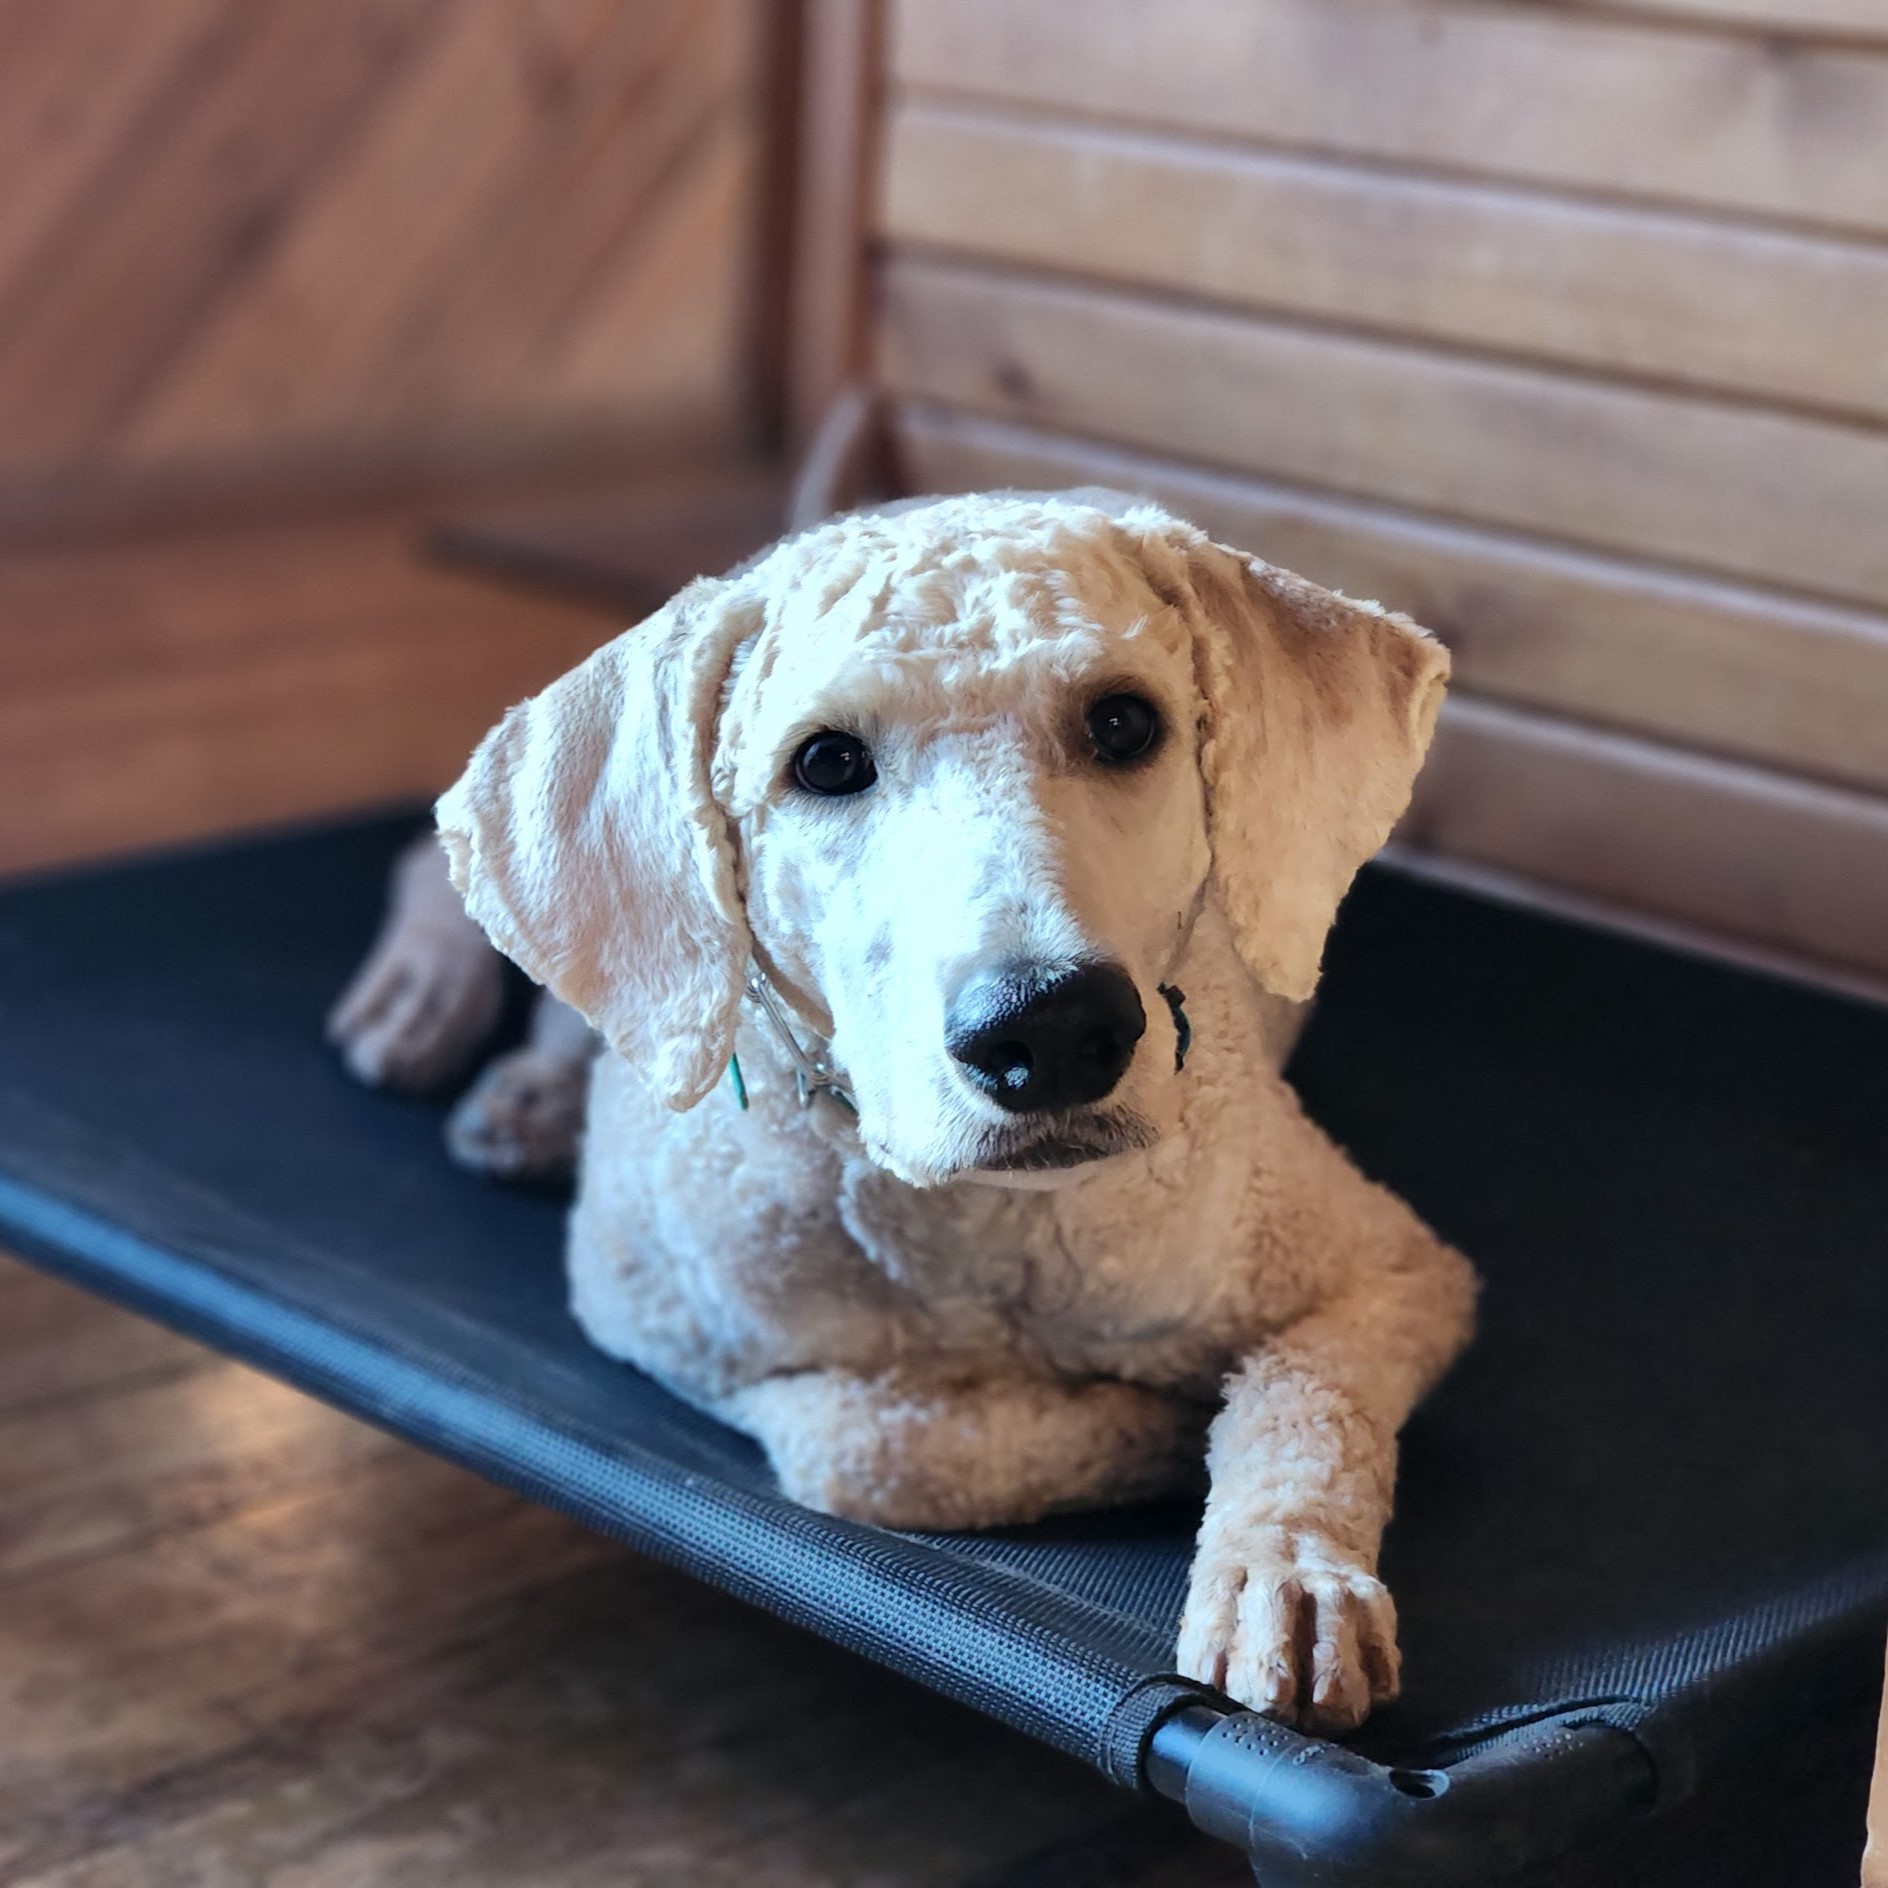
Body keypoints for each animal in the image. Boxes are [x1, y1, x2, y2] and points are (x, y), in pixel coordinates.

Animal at [328, 494, 1472, 1729]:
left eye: (1124, 723)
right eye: (827, 761)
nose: (1052, 1031)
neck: (974, 1218)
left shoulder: (1390, 1268)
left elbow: (1307, 1401)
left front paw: (1283, 1571)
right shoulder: (660, 1333)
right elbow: (869, 1451)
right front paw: (1147, 1430)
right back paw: (436, 1013)